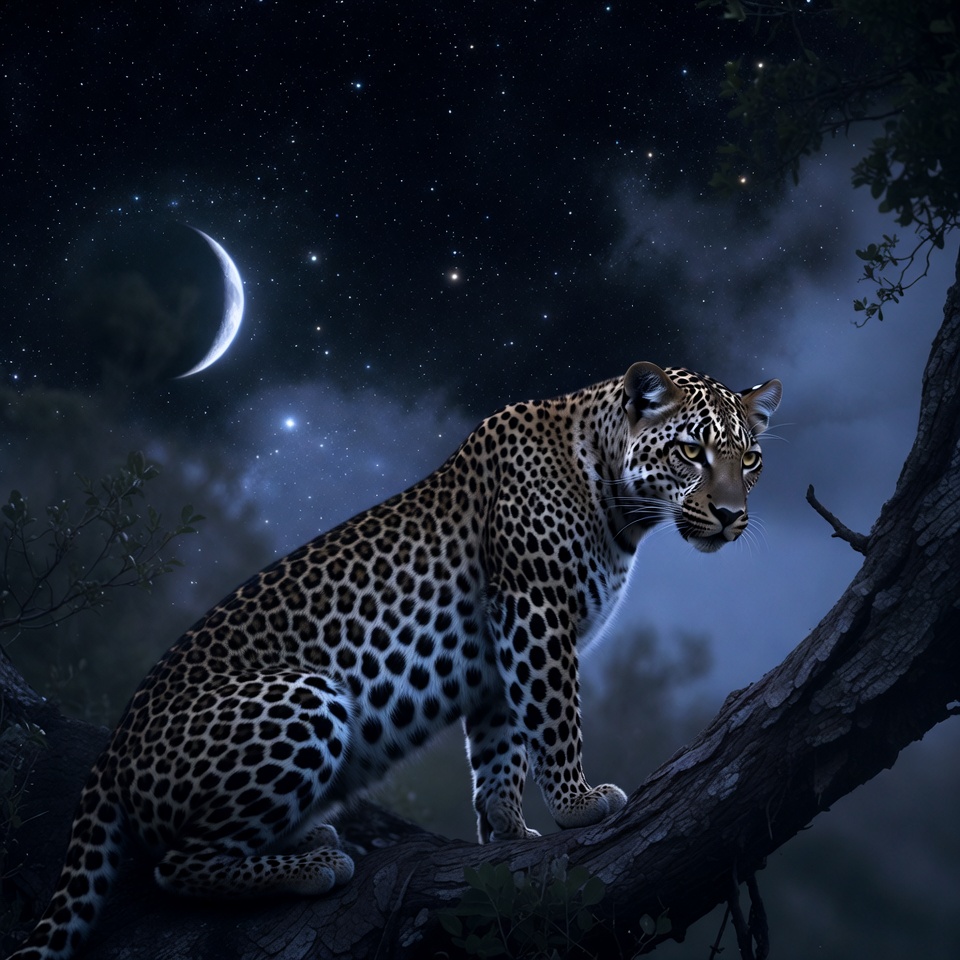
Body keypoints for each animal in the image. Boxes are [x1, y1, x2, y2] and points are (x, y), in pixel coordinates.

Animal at [7, 361, 780, 960]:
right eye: (691, 452)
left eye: (748, 460)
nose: (731, 516)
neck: (616, 497)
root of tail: (113, 747)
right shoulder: (533, 613)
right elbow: (556, 718)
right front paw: (578, 805)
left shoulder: (497, 651)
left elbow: (500, 752)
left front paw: (507, 833)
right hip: (308, 693)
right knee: (174, 865)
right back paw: (314, 862)